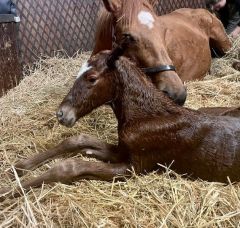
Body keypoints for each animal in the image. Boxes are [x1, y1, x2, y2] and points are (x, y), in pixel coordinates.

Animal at [1, 46, 240, 200]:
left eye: (92, 78)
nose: (61, 114)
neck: (148, 116)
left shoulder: (135, 167)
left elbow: (69, 166)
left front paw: (7, 191)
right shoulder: (122, 150)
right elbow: (78, 140)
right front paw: (18, 168)